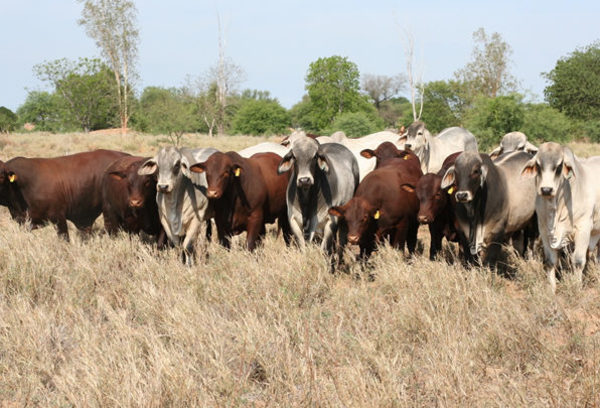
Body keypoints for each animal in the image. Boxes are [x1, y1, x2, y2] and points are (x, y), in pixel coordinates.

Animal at [520, 142, 600, 292]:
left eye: (559, 166)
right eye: (538, 165)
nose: (546, 189)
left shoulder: (584, 228)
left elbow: (578, 261)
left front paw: (576, 287)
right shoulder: (544, 230)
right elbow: (550, 261)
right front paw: (551, 289)